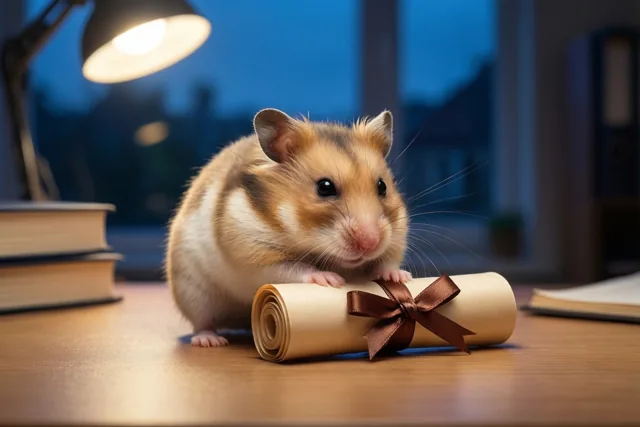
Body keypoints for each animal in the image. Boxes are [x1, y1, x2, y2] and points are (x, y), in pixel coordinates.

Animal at [165, 108, 410, 347]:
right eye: (324, 187)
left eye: (382, 186)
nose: (371, 243)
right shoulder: (255, 256)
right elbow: (293, 268)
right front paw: (330, 279)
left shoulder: (395, 235)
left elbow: (387, 261)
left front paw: (400, 277)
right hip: (192, 292)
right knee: (201, 323)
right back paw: (211, 341)